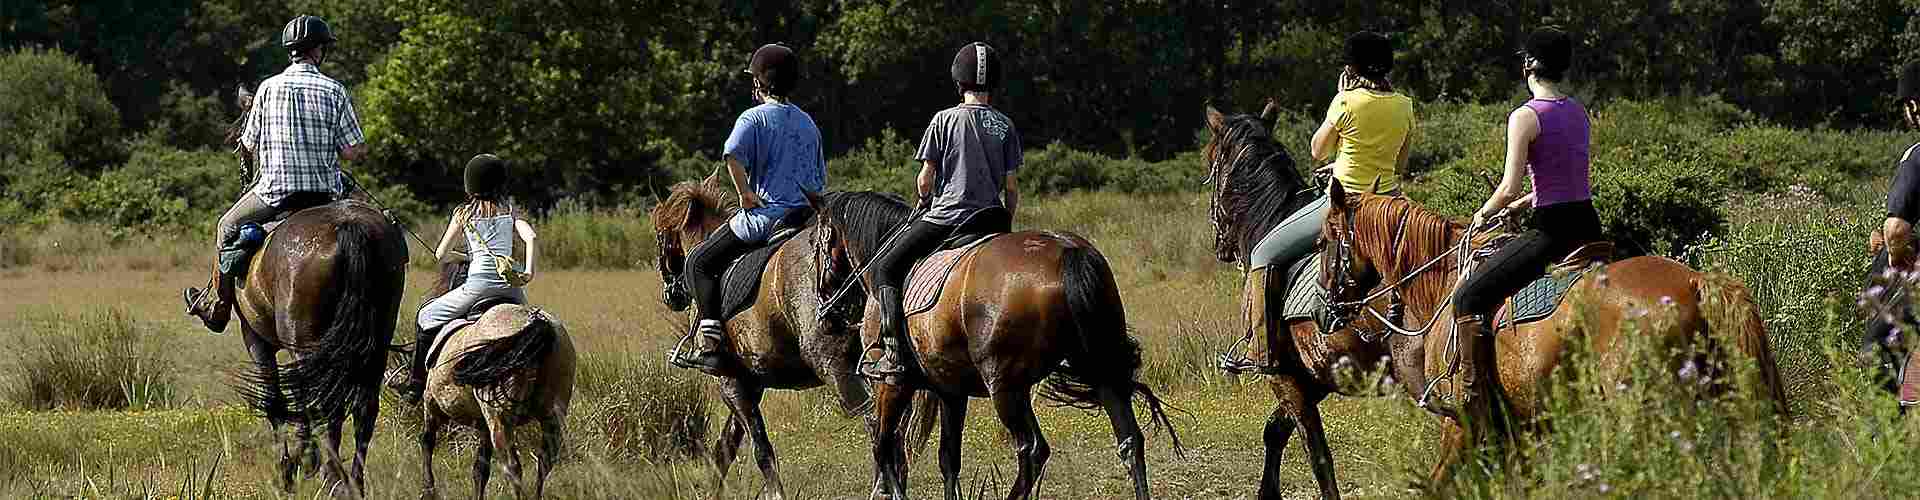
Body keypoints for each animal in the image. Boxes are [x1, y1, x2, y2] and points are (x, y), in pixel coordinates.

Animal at [403, 261, 576, 500]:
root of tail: (535, 322)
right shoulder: (483, 424)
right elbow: (480, 469)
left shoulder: (432, 403)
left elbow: (427, 441)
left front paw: (428, 489)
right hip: (551, 416)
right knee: (545, 462)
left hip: (500, 418)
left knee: (513, 467)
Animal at [648, 176, 933, 500]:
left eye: (660, 235)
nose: (671, 295)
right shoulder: (749, 382)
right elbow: (726, 446)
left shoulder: (731, 381)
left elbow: (760, 448)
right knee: (891, 427)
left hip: (834, 366)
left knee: (877, 424)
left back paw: (882, 489)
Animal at [802, 190, 1175, 500]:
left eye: (815, 244)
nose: (826, 313)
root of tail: (1068, 251)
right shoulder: (950, 391)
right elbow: (947, 459)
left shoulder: (893, 383)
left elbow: (884, 447)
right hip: (1098, 369)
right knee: (1129, 439)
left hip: (1005, 386)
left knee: (1032, 450)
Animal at [1205, 106, 1436, 500]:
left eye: (1211, 161)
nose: (1220, 244)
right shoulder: (1314, 376)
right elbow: (1275, 430)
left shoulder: (1285, 378)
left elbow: (1317, 455)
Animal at [1313, 181, 1789, 482]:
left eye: (1323, 241)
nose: (1321, 309)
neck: (1443, 282)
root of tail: (1695, 281)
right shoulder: (1516, 433)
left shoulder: (1461, 425)